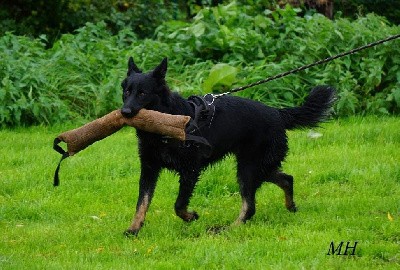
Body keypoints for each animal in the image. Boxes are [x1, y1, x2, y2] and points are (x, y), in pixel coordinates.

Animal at [121, 57, 334, 236]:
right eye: (127, 91)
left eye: (142, 93)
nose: (124, 112)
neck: (166, 118)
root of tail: (278, 113)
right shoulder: (149, 169)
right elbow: (142, 202)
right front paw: (134, 228)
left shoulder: (190, 170)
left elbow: (179, 205)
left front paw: (191, 217)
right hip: (259, 167)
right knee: (287, 179)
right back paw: (290, 207)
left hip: (248, 169)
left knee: (250, 206)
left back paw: (227, 228)